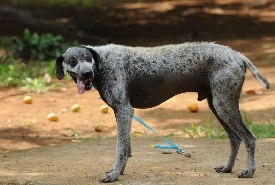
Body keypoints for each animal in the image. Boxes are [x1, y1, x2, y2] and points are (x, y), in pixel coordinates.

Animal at [56, 42, 272, 183]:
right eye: (73, 61)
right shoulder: (123, 113)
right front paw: (119, 171)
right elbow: (126, 148)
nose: (87, 73)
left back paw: (249, 171)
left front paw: (114, 175)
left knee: (249, 138)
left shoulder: (124, 110)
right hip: (218, 106)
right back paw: (227, 168)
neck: (102, 61)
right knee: (235, 139)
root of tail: (237, 54)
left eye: (88, 58)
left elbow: (120, 149)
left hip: (224, 106)